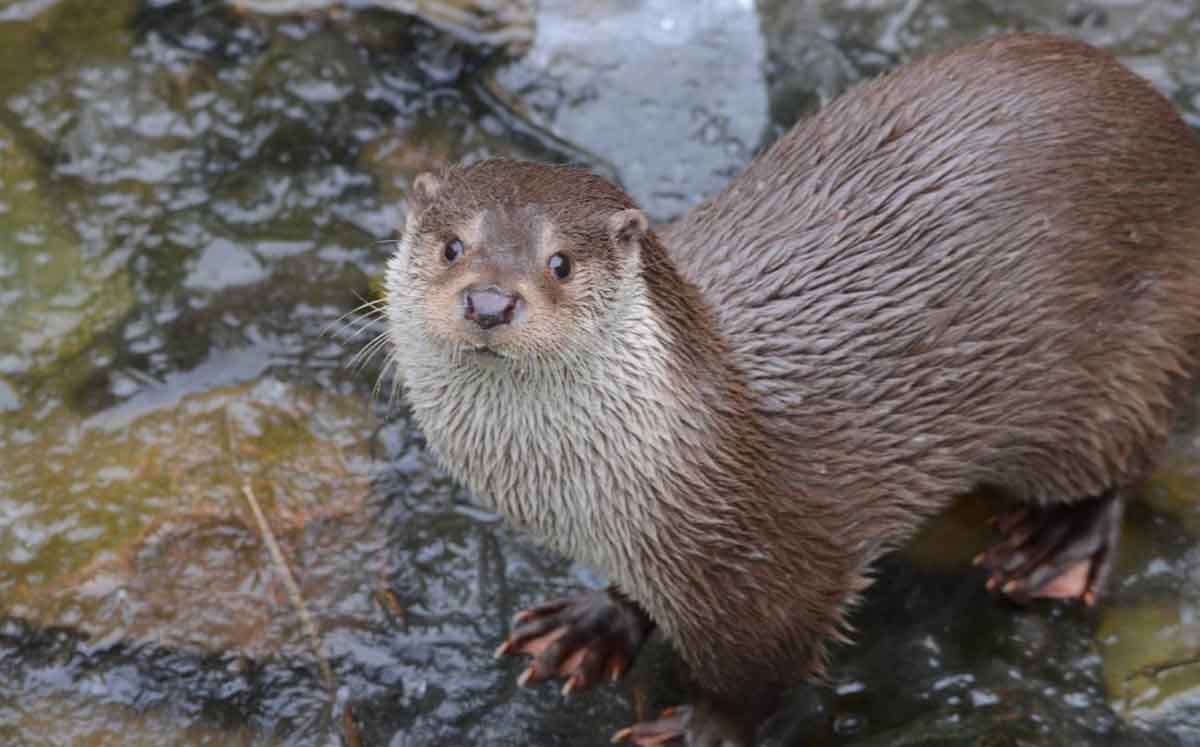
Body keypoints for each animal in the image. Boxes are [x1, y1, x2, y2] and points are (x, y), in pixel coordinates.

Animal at [381, 33, 1200, 744]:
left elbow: (760, 676)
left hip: (1130, 352)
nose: (490, 301)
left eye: (559, 263)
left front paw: (700, 729)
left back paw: (1058, 547)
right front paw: (590, 624)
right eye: (453, 245)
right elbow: (635, 595)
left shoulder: (776, 573)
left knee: (1126, 454)